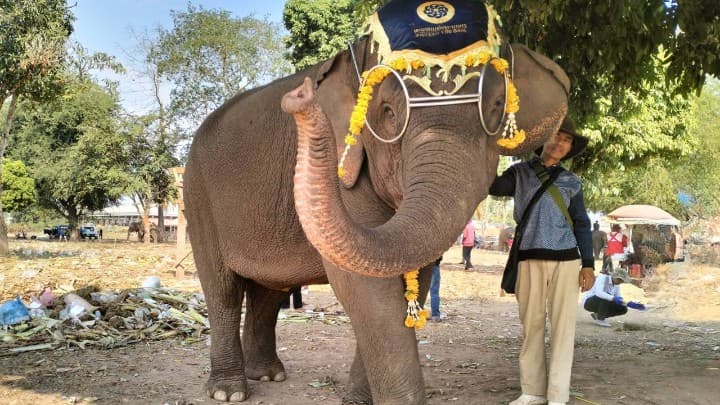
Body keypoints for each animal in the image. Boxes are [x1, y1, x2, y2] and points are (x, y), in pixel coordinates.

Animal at [183, 5, 572, 400]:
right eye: (388, 113)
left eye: (495, 106)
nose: (299, 95)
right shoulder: (346, 171)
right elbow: (365, 288)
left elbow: (414, 276)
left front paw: (356, 400)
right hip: (197, 194)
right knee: (222, 290)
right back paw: (228, 392)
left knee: (267, 292)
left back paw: (267, 375)